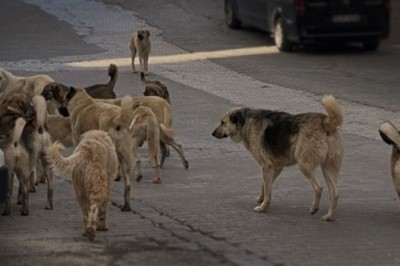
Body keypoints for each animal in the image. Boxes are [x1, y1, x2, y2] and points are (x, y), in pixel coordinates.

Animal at [212, 94, 344, 221]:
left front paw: (263, 208)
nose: (212, 134)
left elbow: (267, 191)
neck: (246, 121)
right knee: (335, 194)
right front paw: (261, 199)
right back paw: (329, 216)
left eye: (222, 122)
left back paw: (314, 208)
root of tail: (325, 121)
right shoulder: (275, 168)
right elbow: (265, 186)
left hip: (304, 164)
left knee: (318, 188)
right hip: (327, 169)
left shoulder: (266, 167)